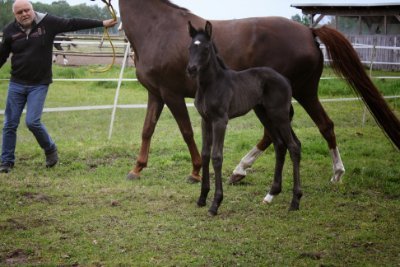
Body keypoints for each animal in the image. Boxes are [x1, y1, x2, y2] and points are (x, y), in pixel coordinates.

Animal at [186, 21, 302, 218]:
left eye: (206, 48)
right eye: (190, 47)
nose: (191, 69)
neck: (210, 85)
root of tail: (285, 80)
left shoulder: (220, 120)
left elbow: (217, 156)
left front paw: (215, 204)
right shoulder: (205, 120)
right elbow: (205, 154)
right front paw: (202, 198)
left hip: (279, 115)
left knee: (293, 146)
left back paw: (295, 201)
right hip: (264, 114)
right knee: (280, 145)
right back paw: (272, 193)